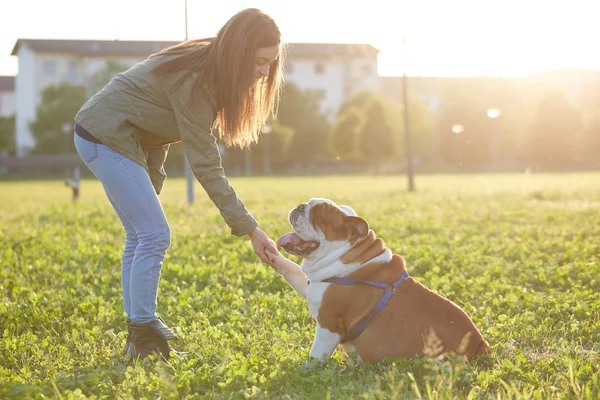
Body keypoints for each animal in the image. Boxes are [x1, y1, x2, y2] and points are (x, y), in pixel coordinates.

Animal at [268, 198, 492, 364]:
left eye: (318, 216)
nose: (300, 206)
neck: (349, 254)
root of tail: (481, 346)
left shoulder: (328, 326)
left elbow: (314, 358)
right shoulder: (312, 285)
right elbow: (290, 269)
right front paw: (269, 253)